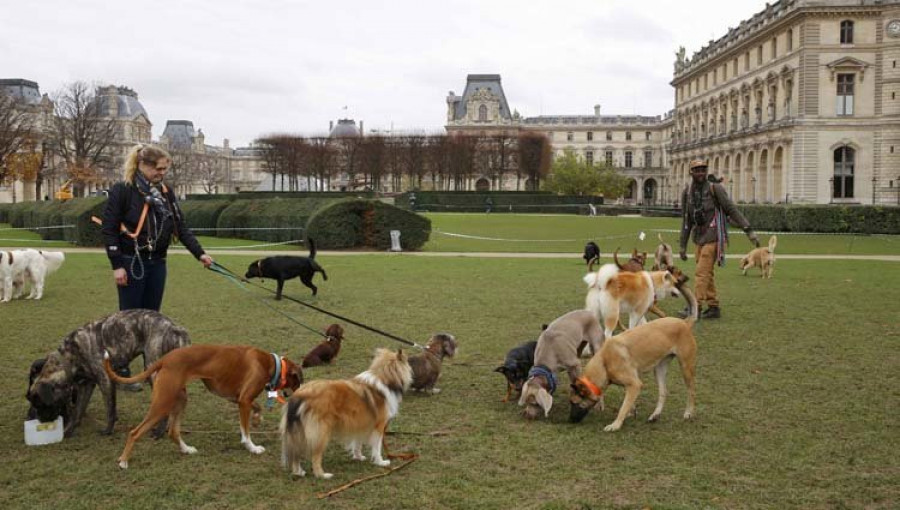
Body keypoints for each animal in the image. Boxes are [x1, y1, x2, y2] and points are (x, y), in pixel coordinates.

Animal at [27, 308, 191, 436]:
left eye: (40, 404)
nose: (41, 421)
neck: (70, 355)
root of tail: (176, 328)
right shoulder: (86, 385)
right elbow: (78, 410)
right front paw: (69, 430)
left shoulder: (105, 381)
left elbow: (110, 409)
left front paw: (108, 430)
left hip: (153, 370)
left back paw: (159, 431)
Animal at [103, 344, 302, 468]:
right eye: (298, 381)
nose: (299, 394)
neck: (270, 363)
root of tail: (165, 359)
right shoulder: (244, 400)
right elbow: (245, 432)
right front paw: (252, 447)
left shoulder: (239, 399)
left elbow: (257, 407)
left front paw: (257, 420)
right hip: (162, 404)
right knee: (135, 432)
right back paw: (124, 462)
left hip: (180, 400)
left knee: (173, 431)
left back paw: (186, 449)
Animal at [280, 346, 414, 478]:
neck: (385, 377)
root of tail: (299, 395)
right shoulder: (379, 426)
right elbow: (376, 447)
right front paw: (380, 462)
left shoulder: (361, 423)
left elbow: (358, 443)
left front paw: (358, 456)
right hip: (320, 432)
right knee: (315, 456)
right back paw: (322, 475)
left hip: (299, 431)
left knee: (296, 453)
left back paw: (298, 472)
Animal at [568, 286, 704, 430]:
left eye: (574, 403)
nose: (569, 420)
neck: (604, 362)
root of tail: (684, 322)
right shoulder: (630, 385)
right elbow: (628, 403)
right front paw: (631, 412)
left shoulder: (635, 384)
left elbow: (623, 407)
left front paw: (615, 424)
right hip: (659, 369)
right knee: (663, 392)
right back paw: (655, 415)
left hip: (686, 367)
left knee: (691, 391)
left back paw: (688, 412)